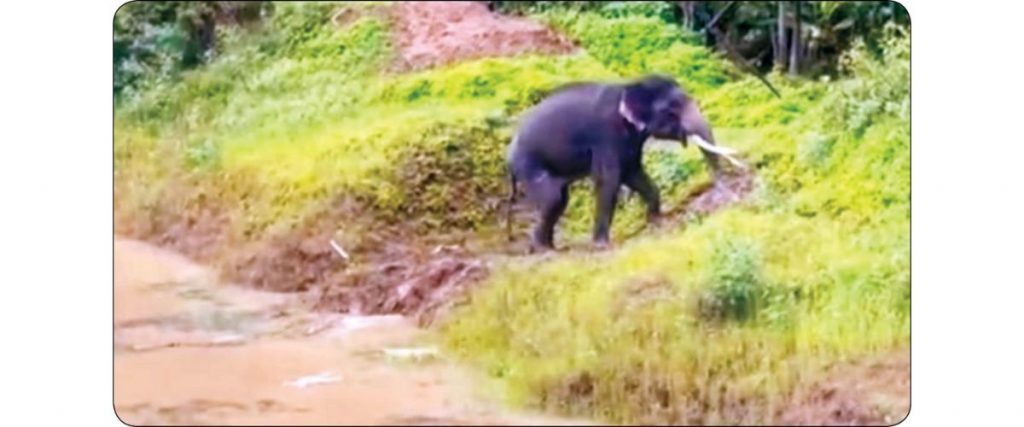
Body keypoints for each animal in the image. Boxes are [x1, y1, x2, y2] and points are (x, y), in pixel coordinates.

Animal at [505, 74, 727, 251]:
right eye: (671, 111)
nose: (718, 182)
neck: (628, 86)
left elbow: (633, 172)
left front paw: (656, 220)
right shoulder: (606, 135)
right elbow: (609, 179)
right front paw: (601, 245)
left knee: (560, 199)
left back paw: (550, 247)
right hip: (529, 165)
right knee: (553, 198)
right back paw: (543, 249)